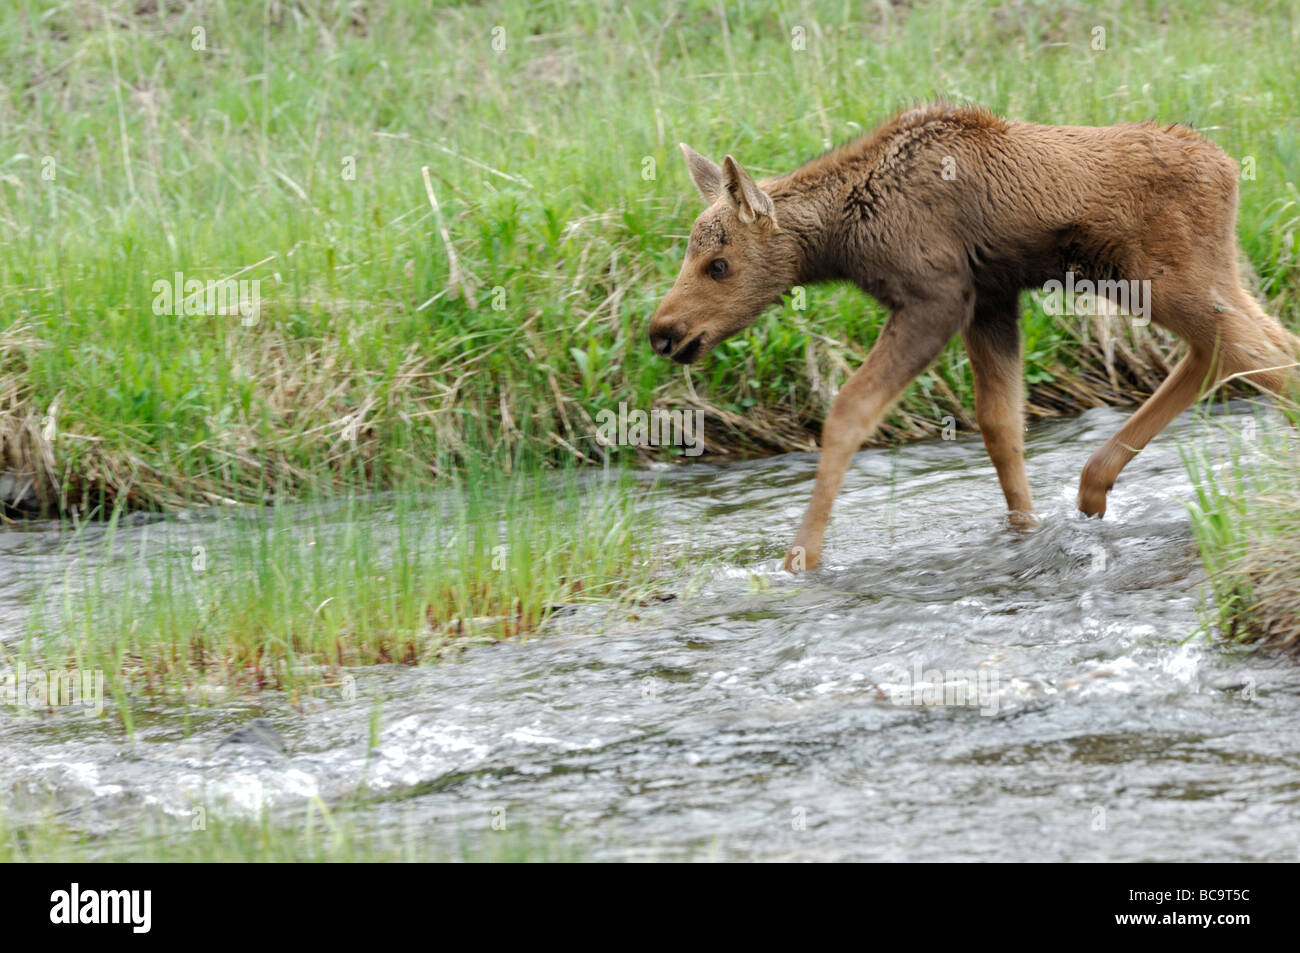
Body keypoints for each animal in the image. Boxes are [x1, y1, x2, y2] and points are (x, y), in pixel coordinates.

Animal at [644, 102, 1294, 572]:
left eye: (719, 265)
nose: (663, 333)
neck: (845, 236)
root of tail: (1231, 168)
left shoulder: (938, 298)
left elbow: (850, 409)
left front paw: (799, 558)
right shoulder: (992, 301)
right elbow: (1000, 424)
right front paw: (1026, 531)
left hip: (1162, 278)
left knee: (1264, 355)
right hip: (1193, 275)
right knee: (1245, 347)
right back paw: (1094, 485)